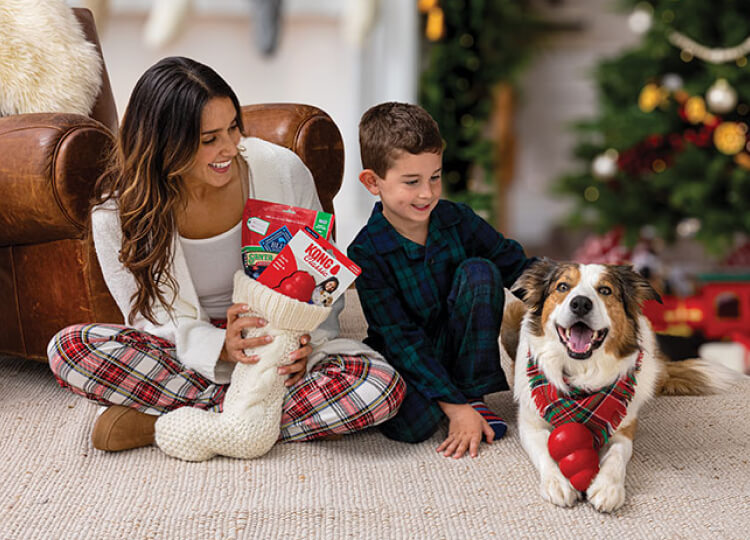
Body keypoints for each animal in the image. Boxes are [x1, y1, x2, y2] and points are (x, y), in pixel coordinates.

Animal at [502, 262, 736, 516]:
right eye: (562, 287)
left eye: (605, 290)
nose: (580, 303)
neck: (581, 377)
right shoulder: (530, 425)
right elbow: (544, 450)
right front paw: (557, 483)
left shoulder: (624, 428)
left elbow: (617, 455)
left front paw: (607, 488)